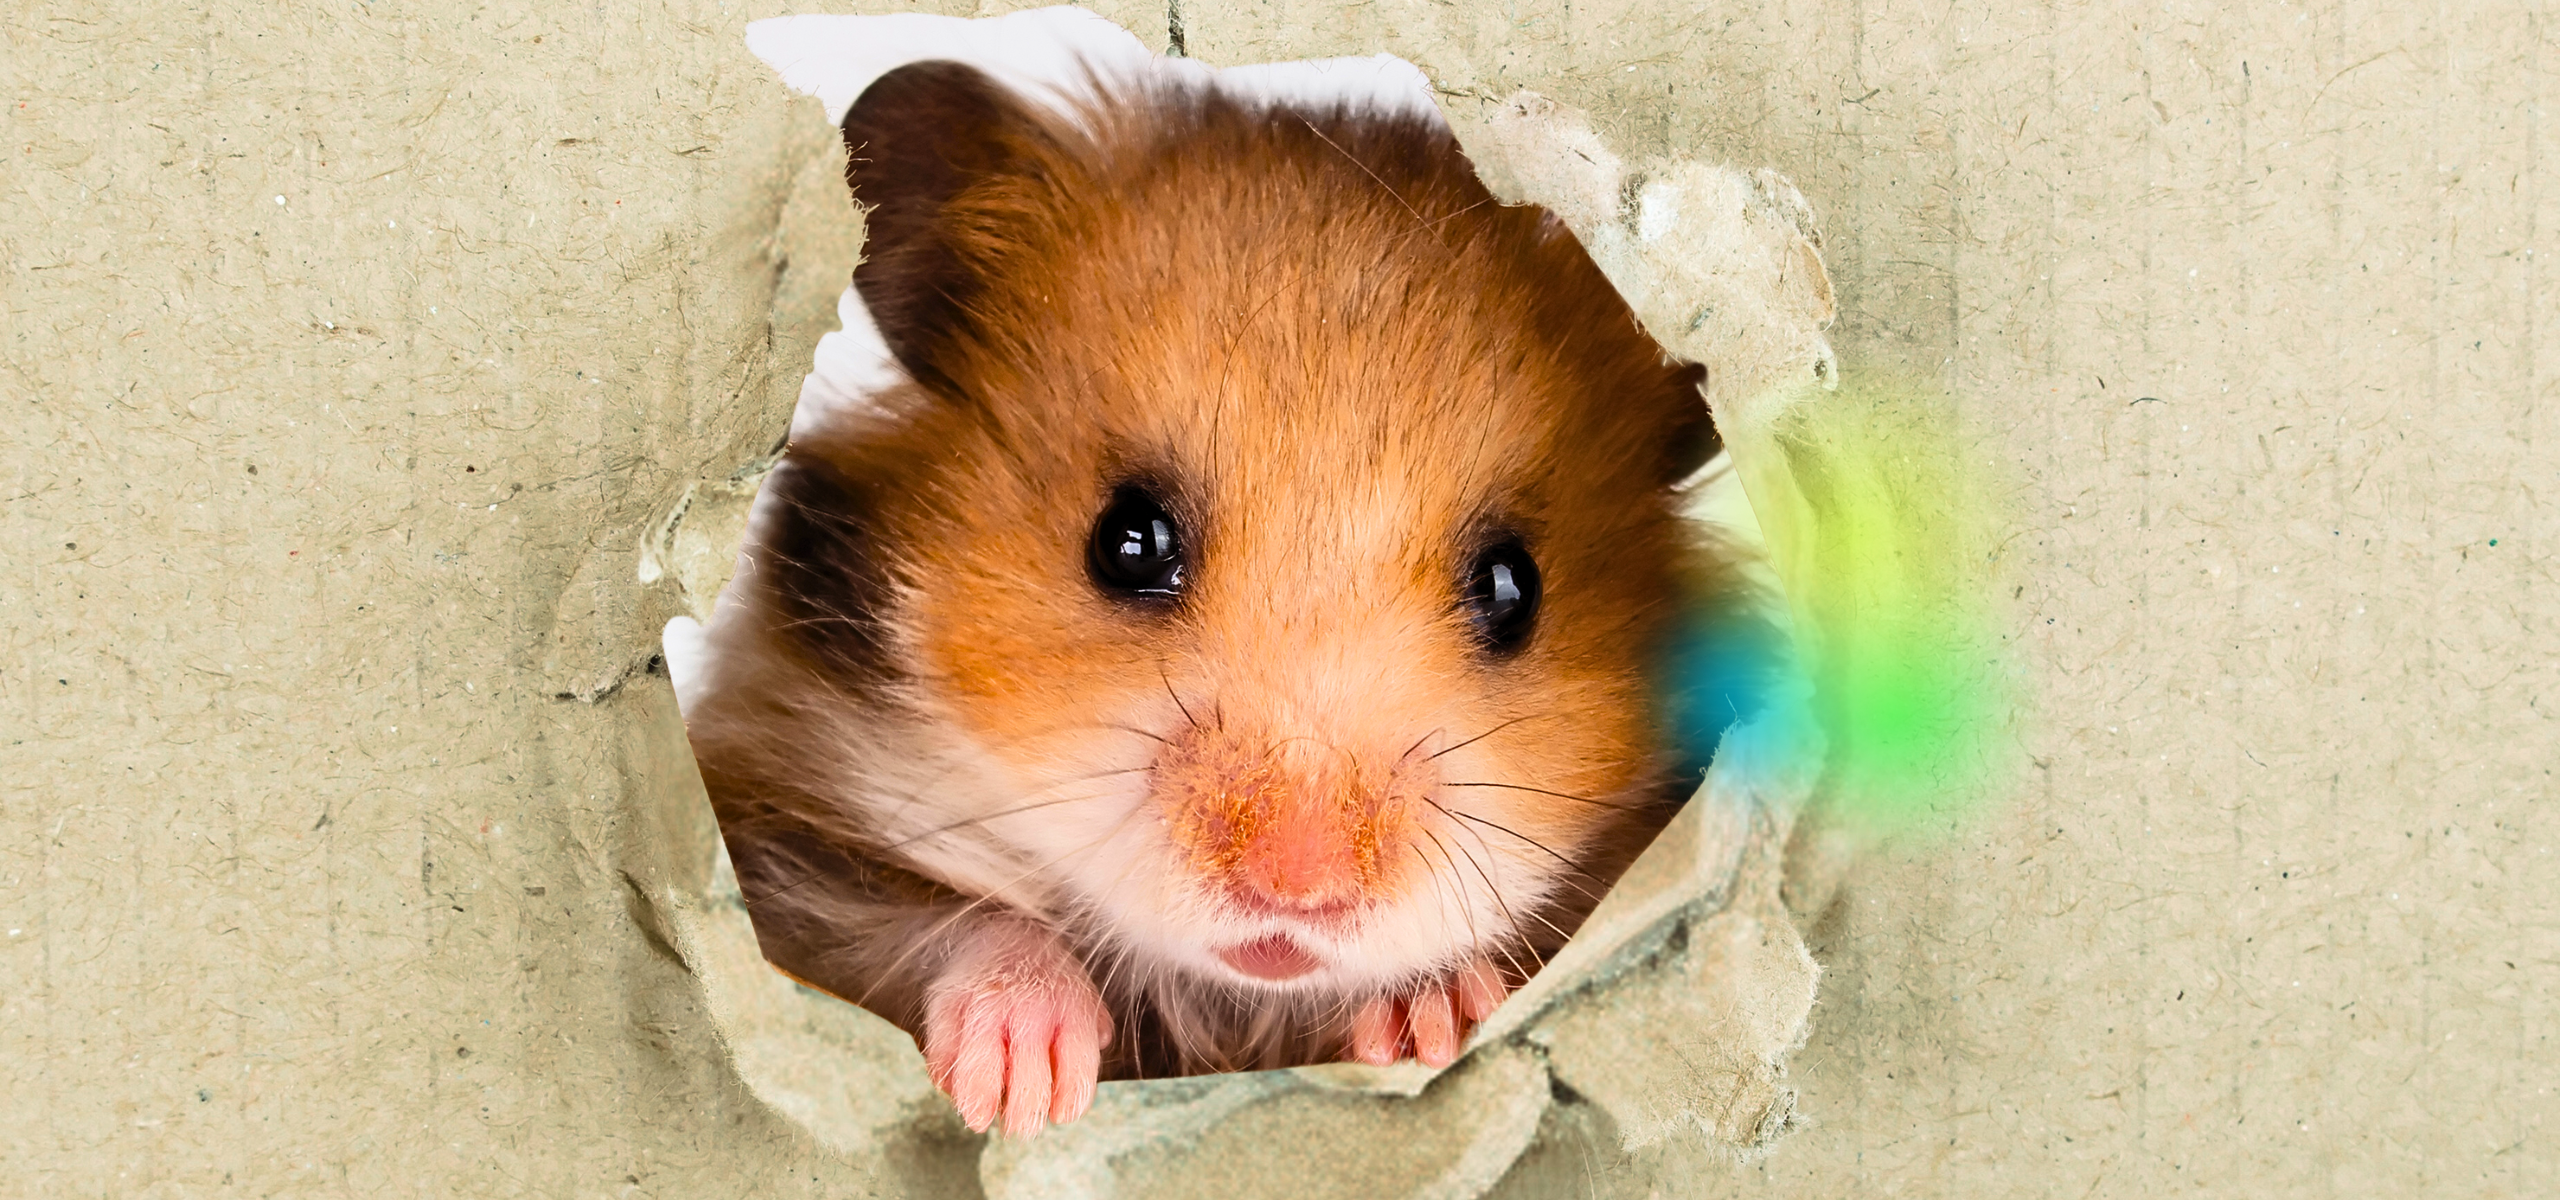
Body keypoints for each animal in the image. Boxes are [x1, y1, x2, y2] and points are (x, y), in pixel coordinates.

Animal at [684, 59, 1749, 1138]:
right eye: (1127, 540)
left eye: (1510, 587)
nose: (1296, 890)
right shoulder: (783, 843)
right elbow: (948, 926)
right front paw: (1023, 1087)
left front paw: (1431, 1015)